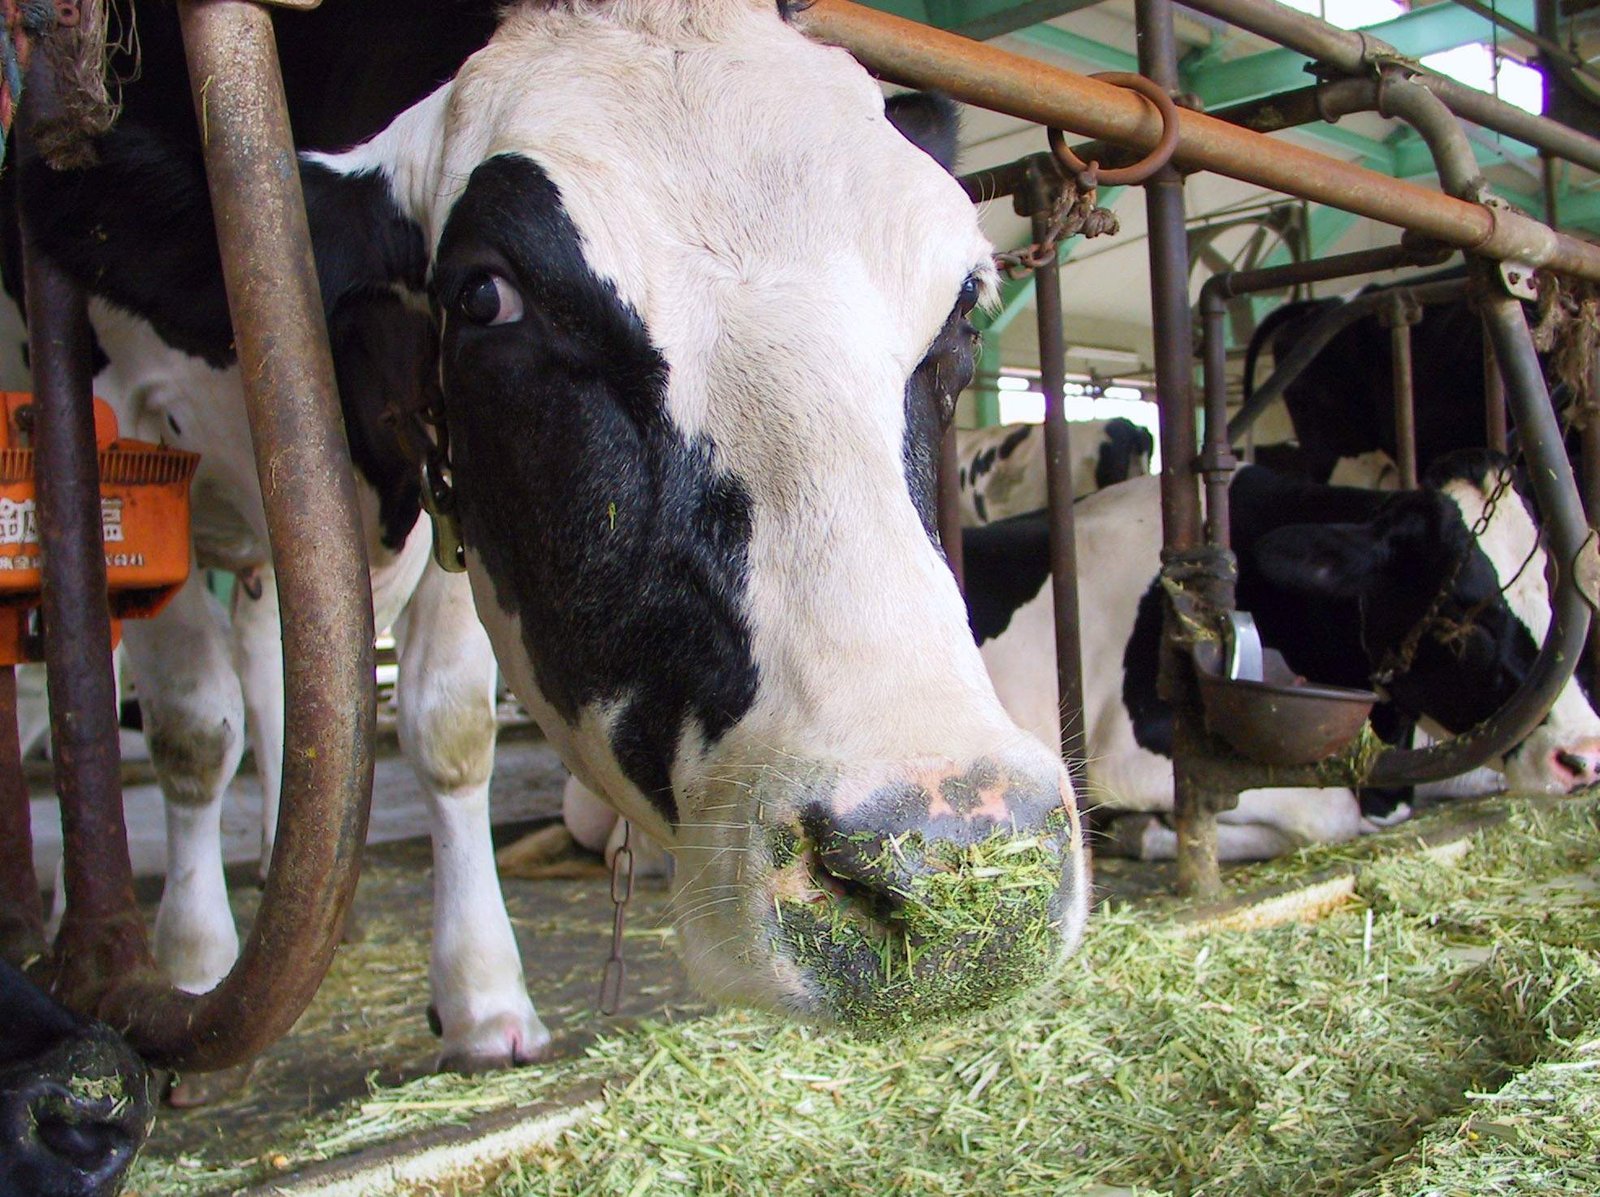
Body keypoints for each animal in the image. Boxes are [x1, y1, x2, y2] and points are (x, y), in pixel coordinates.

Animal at [13, 0, 1087, 1062]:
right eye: (486, 294)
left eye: (964, 305)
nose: (947, 862)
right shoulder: (131, 450)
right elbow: (194, 729)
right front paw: (191, 970)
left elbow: (447, 726)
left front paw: (483, 995)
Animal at [966, 453, 1600, 861]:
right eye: (1459, 611)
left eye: (1552, 582)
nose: (1583, 757)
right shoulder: (1129, 753)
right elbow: (1327, 816)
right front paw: (1140, 831)